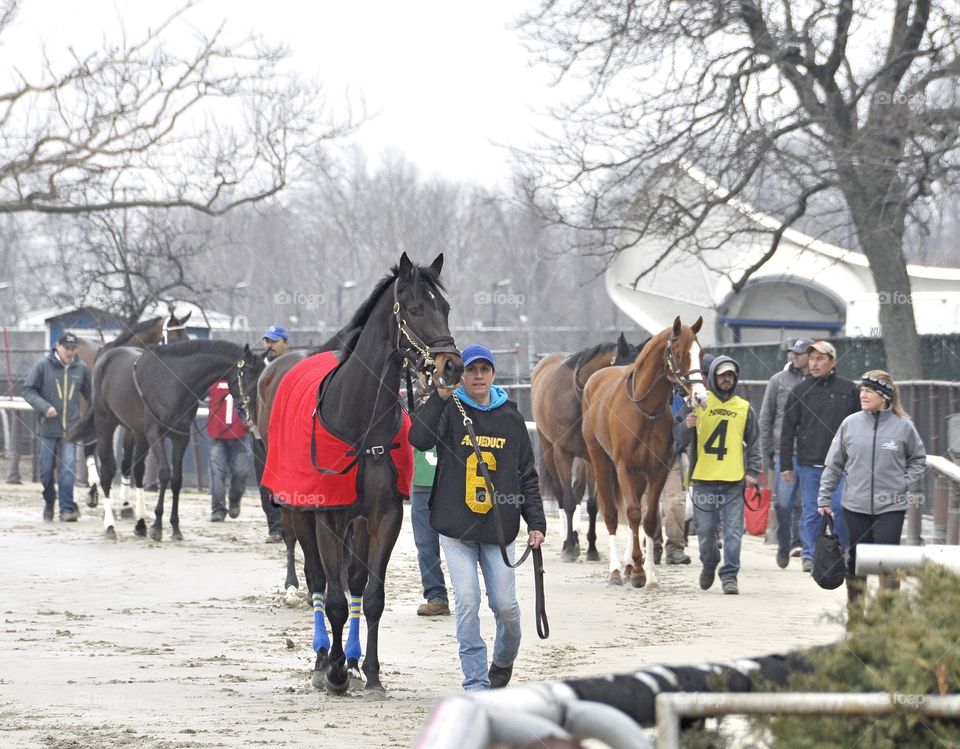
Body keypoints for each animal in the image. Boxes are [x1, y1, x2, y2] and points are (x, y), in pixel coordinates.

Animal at [68, 338, 262, 536]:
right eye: (250, 373)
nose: (255, 409)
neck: (173, 382)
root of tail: (104, 356)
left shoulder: (180, 438)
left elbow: (176, 479)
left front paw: (175, 528)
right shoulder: (155, 434)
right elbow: (164, 473)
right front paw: (157, 527)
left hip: (137, 433)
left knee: (137, 472)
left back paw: (140, 523)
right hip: (105, 423)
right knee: (107, 470)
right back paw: (110, 525)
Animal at [258, 254, 462, 700]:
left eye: (446, 308)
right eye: (415, 308)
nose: (452, 365)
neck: (359, 424)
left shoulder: (384, 516)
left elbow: (370, 596)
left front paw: (368, 671)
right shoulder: (328, 516)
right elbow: (333, 597)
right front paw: (332, 670)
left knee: (351, 581)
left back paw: (349, 660)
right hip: (300, 513)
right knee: (318, 580)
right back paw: (324, 660)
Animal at [532, 334, 644, 560]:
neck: (579, 399)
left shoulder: (593, 456)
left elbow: (592, 504)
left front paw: (592, 548)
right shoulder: (562, 453)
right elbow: (568, 500)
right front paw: (568, 547)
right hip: (548, 448)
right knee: (561, 494)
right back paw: (569, 542)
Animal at [576, 312, 704, 588]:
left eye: (700, 352)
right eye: (679, 353)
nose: (700, 396)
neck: (645, 410)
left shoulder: (658, 469)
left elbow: (650, 519)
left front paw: (648, 574)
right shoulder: (624, 465)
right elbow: (633, 513)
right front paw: (636, 570)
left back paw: (626, 566)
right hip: (600, 459)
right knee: (612, 513)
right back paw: (616, 570)